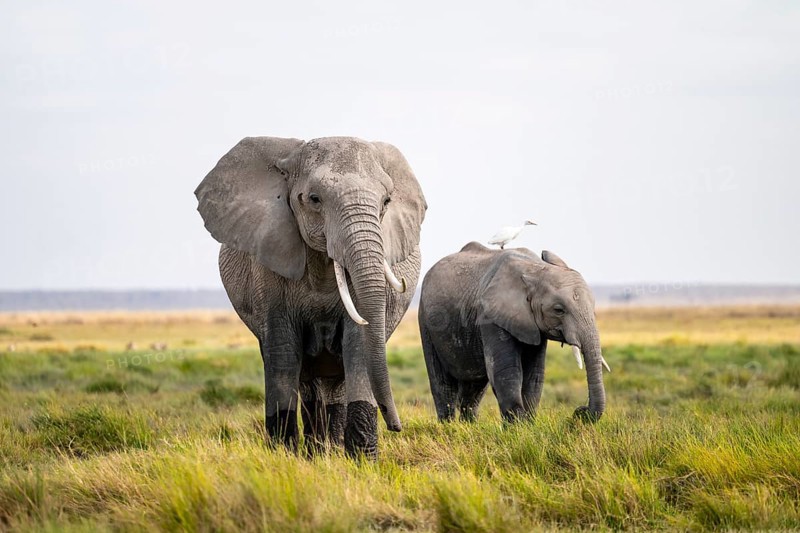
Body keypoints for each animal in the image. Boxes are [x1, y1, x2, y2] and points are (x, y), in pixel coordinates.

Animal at [194, 136, 426, 458]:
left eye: (386, 202)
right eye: (314, 199)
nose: (396, 426)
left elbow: (358, 346)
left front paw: (362, 462)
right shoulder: (268, 265)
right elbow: (282, 352)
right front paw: (284, 458)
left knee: (334, 384)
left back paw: (330, 450)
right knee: (306, 382)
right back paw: (315, 452)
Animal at [418, 242, 609, 423]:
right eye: (558, 310)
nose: (580, 411)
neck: (535, 268)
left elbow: (534, 373)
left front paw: (528, 425)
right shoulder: (489, 315)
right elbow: (505, 371)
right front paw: (517, 427)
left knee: (474, 387)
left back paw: (469, 426)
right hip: (426, 321)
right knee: (442, 384)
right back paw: (448, 426)